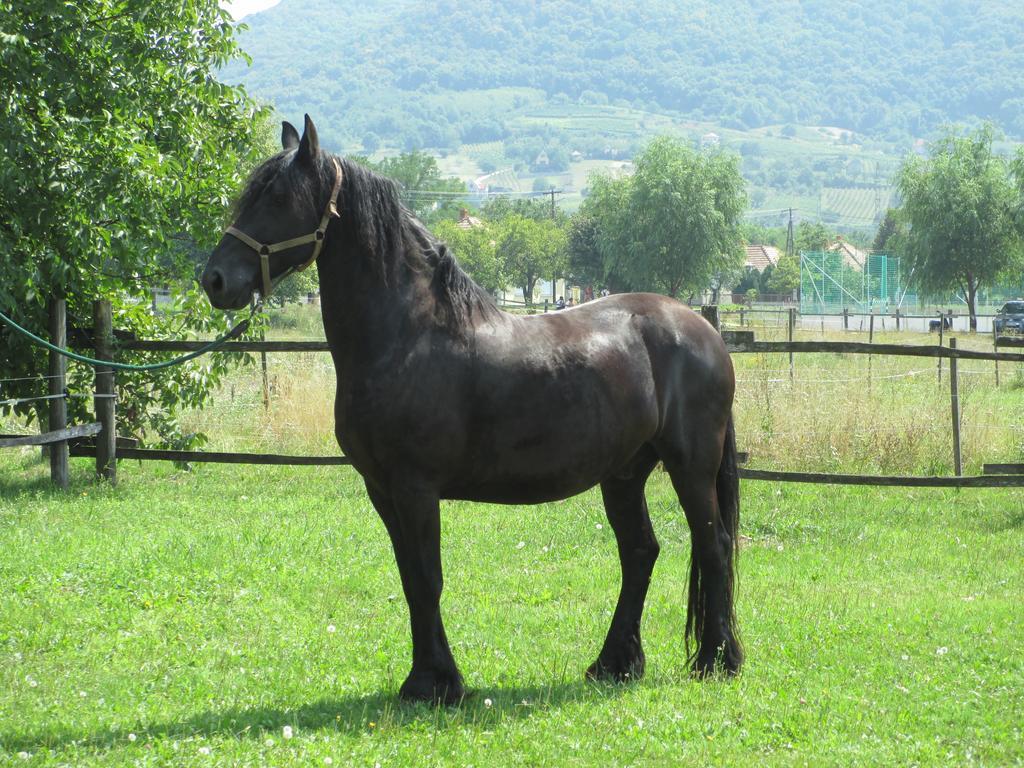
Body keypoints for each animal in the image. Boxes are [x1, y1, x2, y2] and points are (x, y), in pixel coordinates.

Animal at [201, 114, 745, 704]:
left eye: (278, 196)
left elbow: (427, 579)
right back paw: (615, 663)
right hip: (623, 473)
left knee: (712, 545)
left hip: (691, 467)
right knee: (641, 552)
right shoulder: (382, 490)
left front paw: (436, 682)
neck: (408, 335)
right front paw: (427, 678)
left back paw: (716, 661)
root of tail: (702, 329)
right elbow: (410, 579)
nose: (215, 279)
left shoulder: (415, 488)